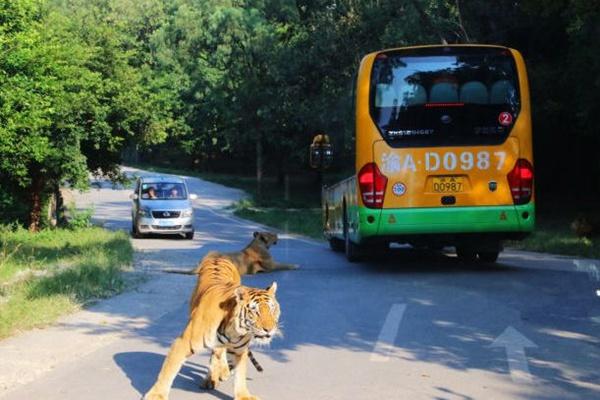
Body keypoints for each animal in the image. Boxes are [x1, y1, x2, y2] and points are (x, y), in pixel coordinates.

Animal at [144, 255, 280, 398]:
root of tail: (218, 256)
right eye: (255, 311)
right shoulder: (183, 343)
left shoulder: (240, 351)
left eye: (272, 309)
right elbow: (168, 371)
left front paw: (243, 396)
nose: (269, 329)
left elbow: (240, 375)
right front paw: (156, 395)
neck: (234, 330)